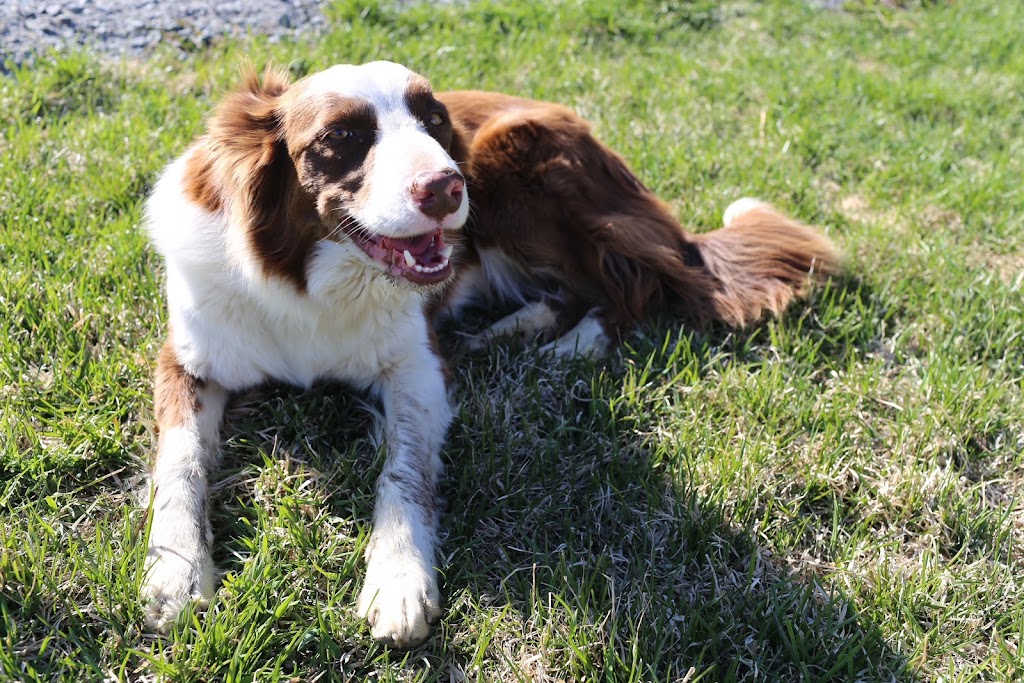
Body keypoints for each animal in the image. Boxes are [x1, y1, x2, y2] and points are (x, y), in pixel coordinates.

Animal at [140, 60, 835, 647]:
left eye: (435, 122)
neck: (312, 283)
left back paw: (567, 347)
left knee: (625, 288)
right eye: (342, 136)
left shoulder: (418, 367)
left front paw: (399, 582)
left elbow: (403, 472)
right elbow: (181, 462)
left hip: (515, 163)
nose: (446, 187)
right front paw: (175, 573)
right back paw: (506, 333)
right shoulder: (187, 360)